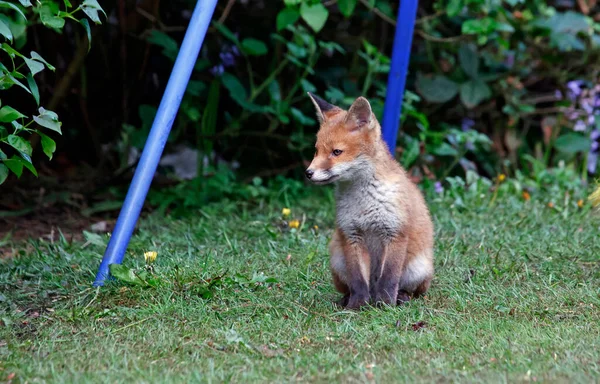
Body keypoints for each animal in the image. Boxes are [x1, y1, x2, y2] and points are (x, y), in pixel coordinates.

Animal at [308, 92, 434, 308]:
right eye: (316, 151)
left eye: (336, 152)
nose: (308, 173)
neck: (364, 202)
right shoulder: (351, 235)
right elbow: (358, 280)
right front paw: (356, 306)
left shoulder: (395, 233)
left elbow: (389, 278)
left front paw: (385, 305)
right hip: (337, 259)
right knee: (353, 286)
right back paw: (348, 299)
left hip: (418, 269)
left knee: (411, 289)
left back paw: (400, 297)